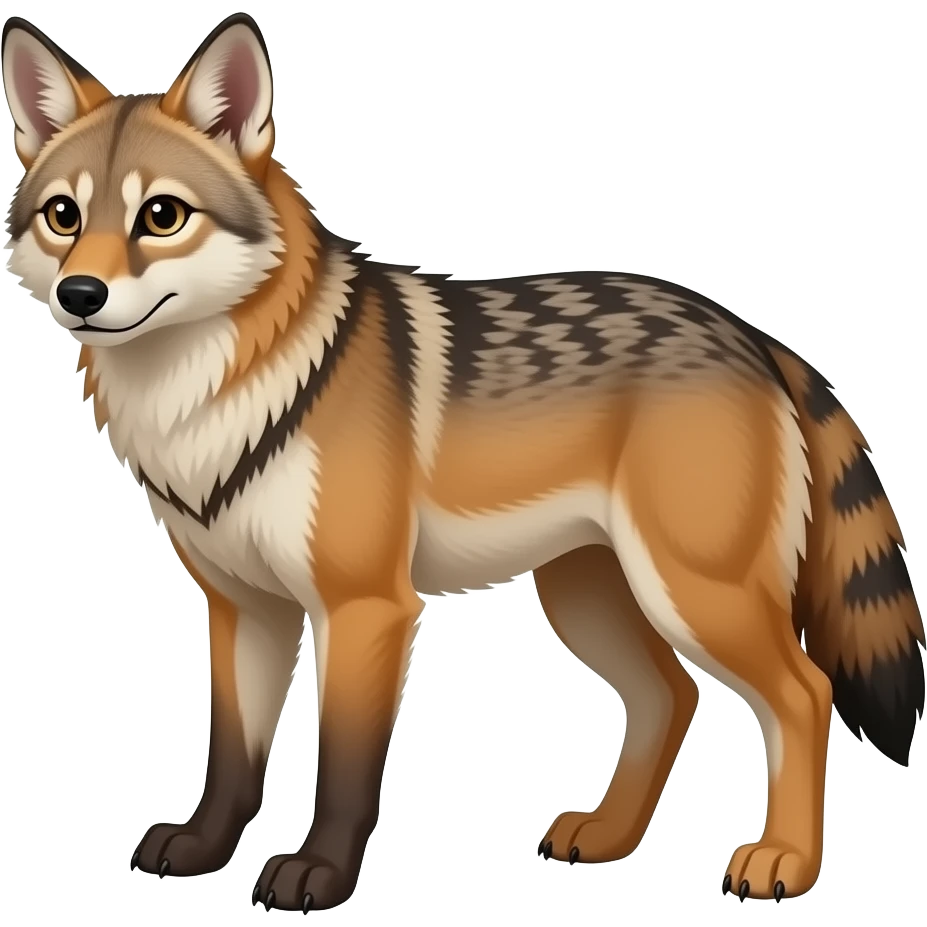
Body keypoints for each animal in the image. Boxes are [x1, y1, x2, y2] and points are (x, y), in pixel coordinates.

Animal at [2, 11, 924, 913]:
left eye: (161, 216)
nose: (81, 295)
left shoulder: (366, 607)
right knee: (672, 695)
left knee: (803, 692)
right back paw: (609, 836)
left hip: (694, 593)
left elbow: (344, 766)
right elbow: (233, 755)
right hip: (589, 598)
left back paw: (785, 860)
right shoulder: (244, 609)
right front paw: (202, 850)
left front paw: (318, 876)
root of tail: (755, 337)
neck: (212, 400)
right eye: (63, 216)